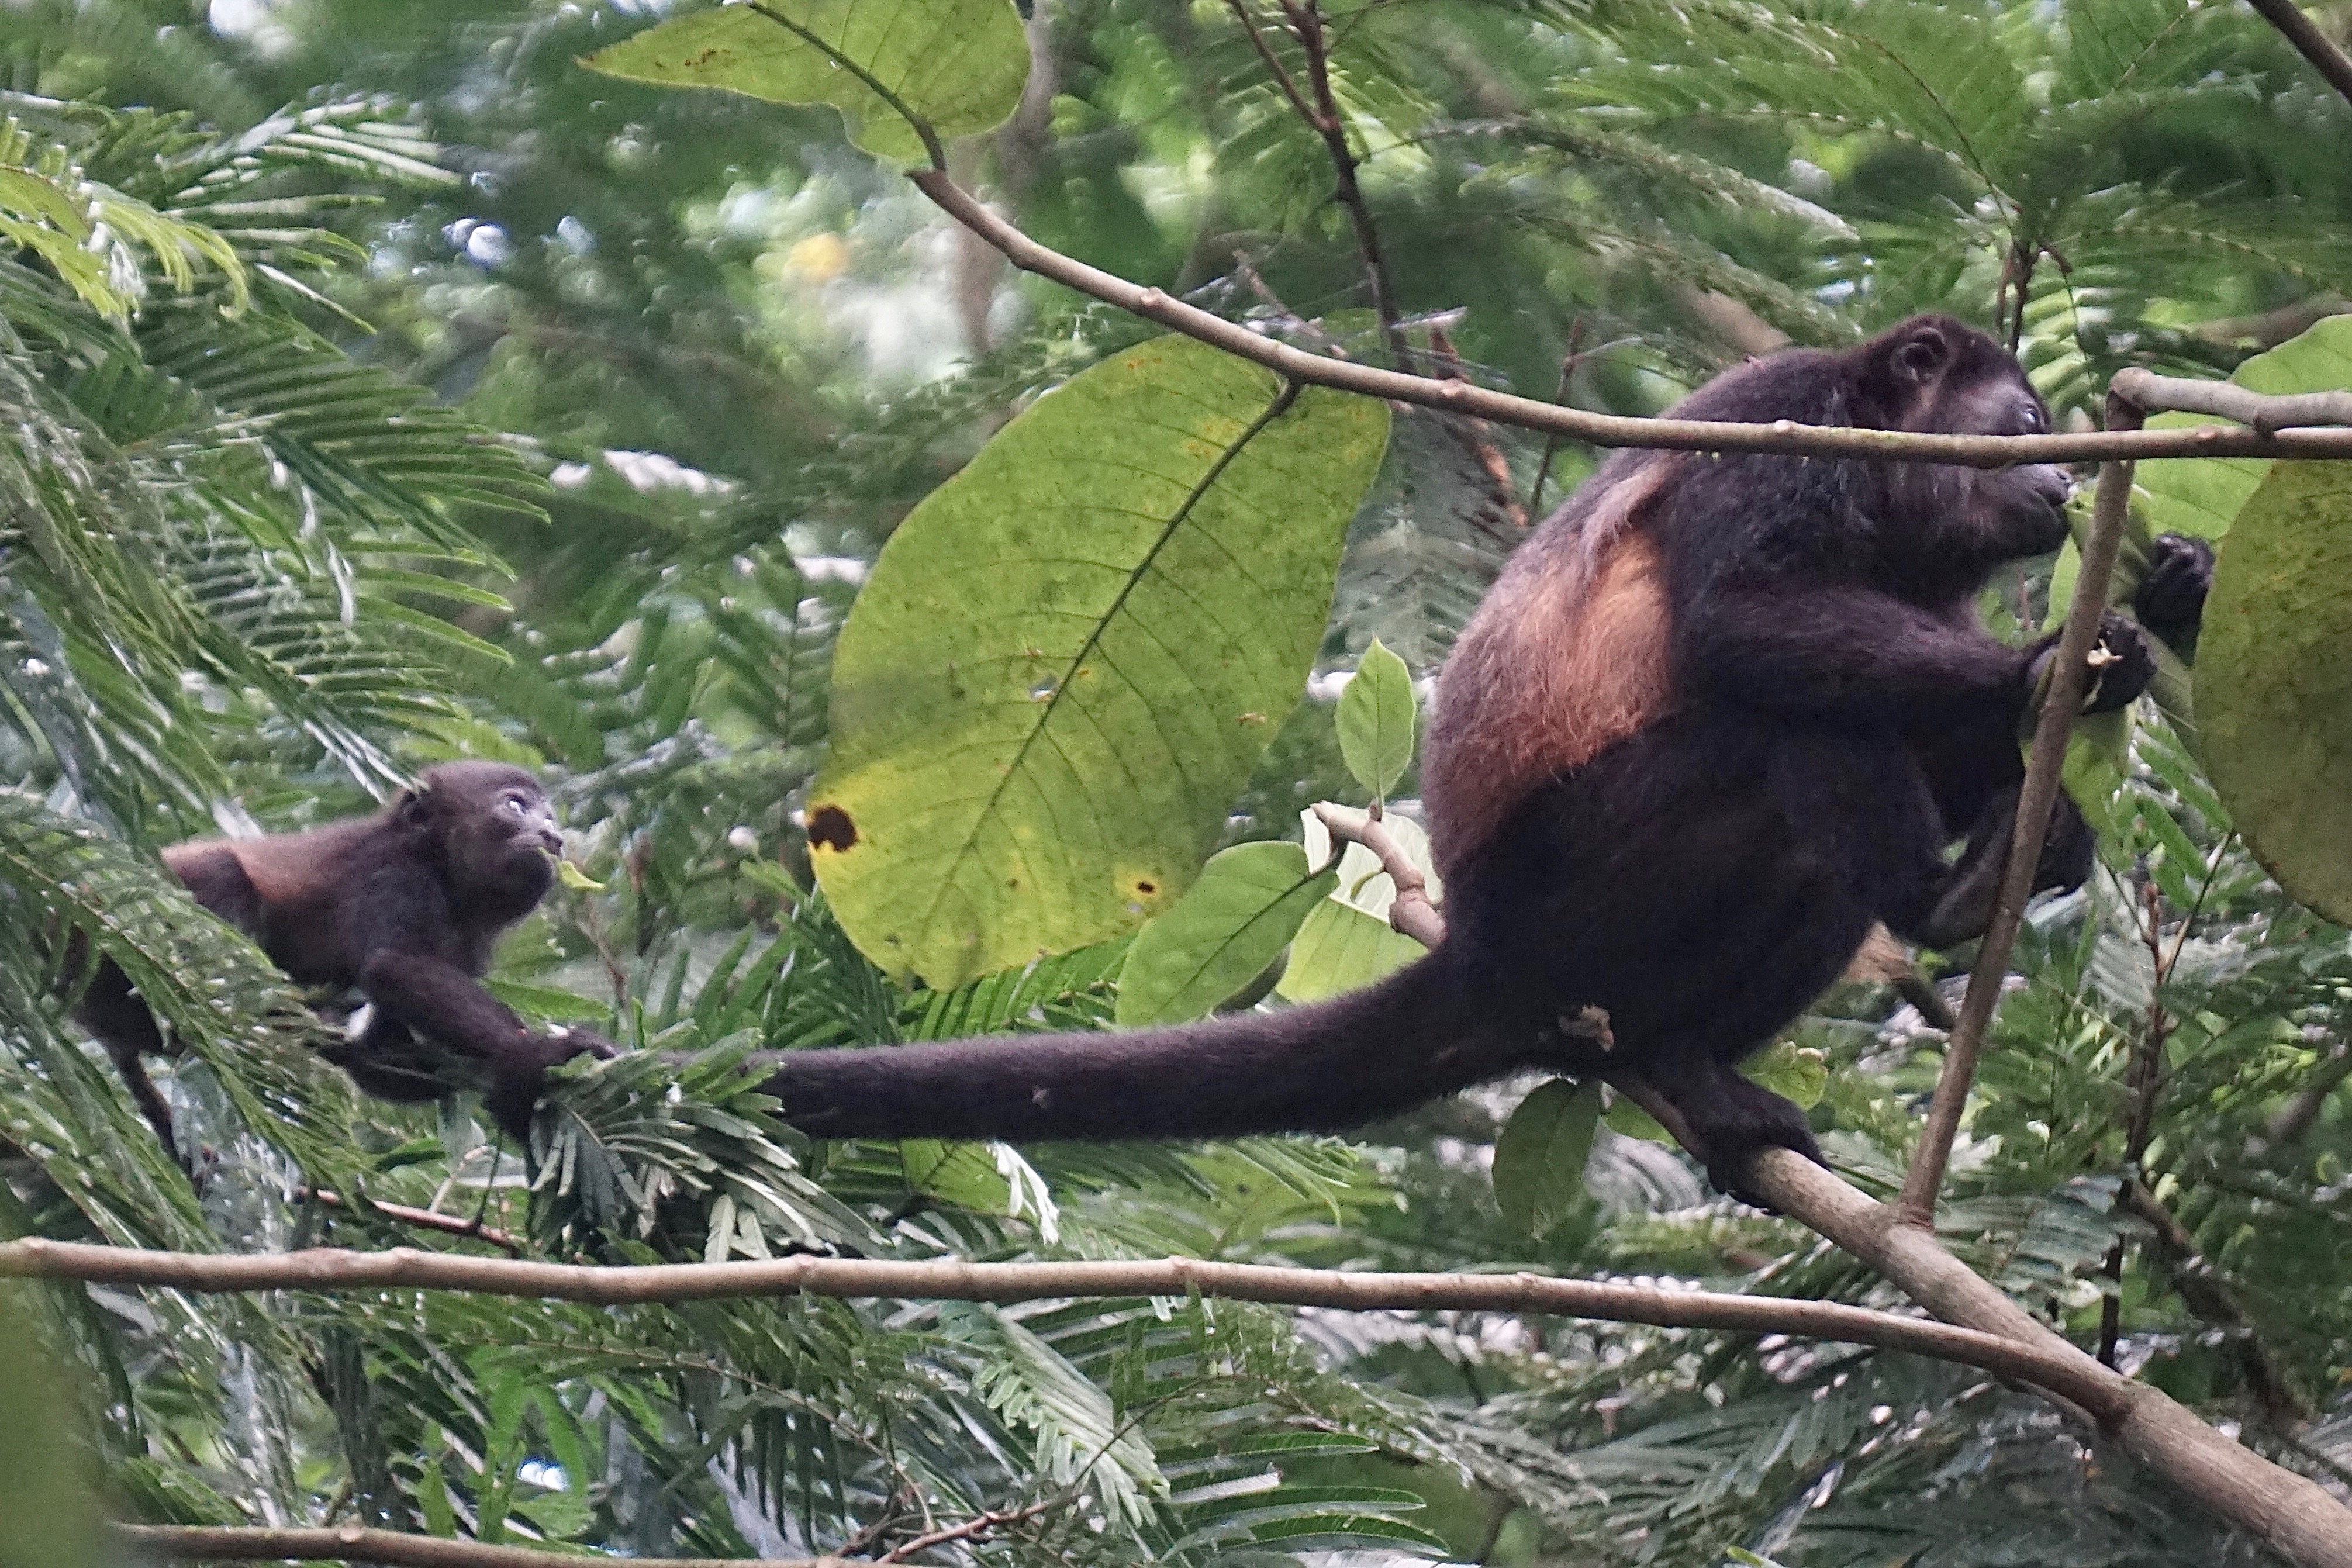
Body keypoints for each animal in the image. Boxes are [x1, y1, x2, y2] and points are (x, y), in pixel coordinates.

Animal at [73, 761, 614, 1153]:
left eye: (549, 816)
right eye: (515, 805)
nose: (552, 835)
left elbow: (380, 1055)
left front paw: (514, 1094)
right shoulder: (394, 872)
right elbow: (394, 965)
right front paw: (541, 1055)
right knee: (222, 873)